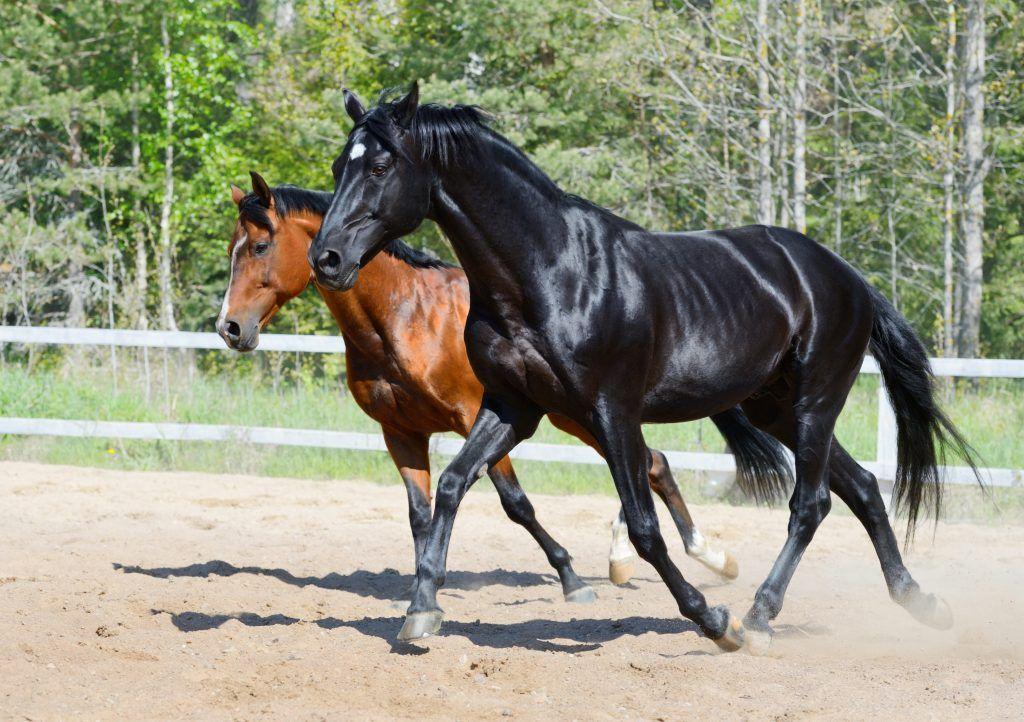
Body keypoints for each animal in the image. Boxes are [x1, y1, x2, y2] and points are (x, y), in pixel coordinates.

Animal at [214, 171, 786, 603]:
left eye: (260, 245)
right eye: (231, 249)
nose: (230, 328)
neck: (404, 317)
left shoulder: (477, 416)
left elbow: (516, 504)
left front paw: (571, 580)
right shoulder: (400, 433)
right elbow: (419, 513)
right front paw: (423, 588)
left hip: (579, 415)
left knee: (650, 464)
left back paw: (703, 557)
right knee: (653, 463)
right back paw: (648, 559)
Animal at [308, 85, 978, 652]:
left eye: (380, 166)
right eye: (341, 165)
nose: (327, 259)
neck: (549, 271)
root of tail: (846, 276)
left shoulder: (612, 412)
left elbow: (643, 526)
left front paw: (713, 620)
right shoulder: (512, 407)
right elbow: (450, 486)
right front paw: (421, 611)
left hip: (816, 401)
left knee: (810, 504)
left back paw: (759, 617)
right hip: (775, 408)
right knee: (862, 488)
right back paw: (921, 603)